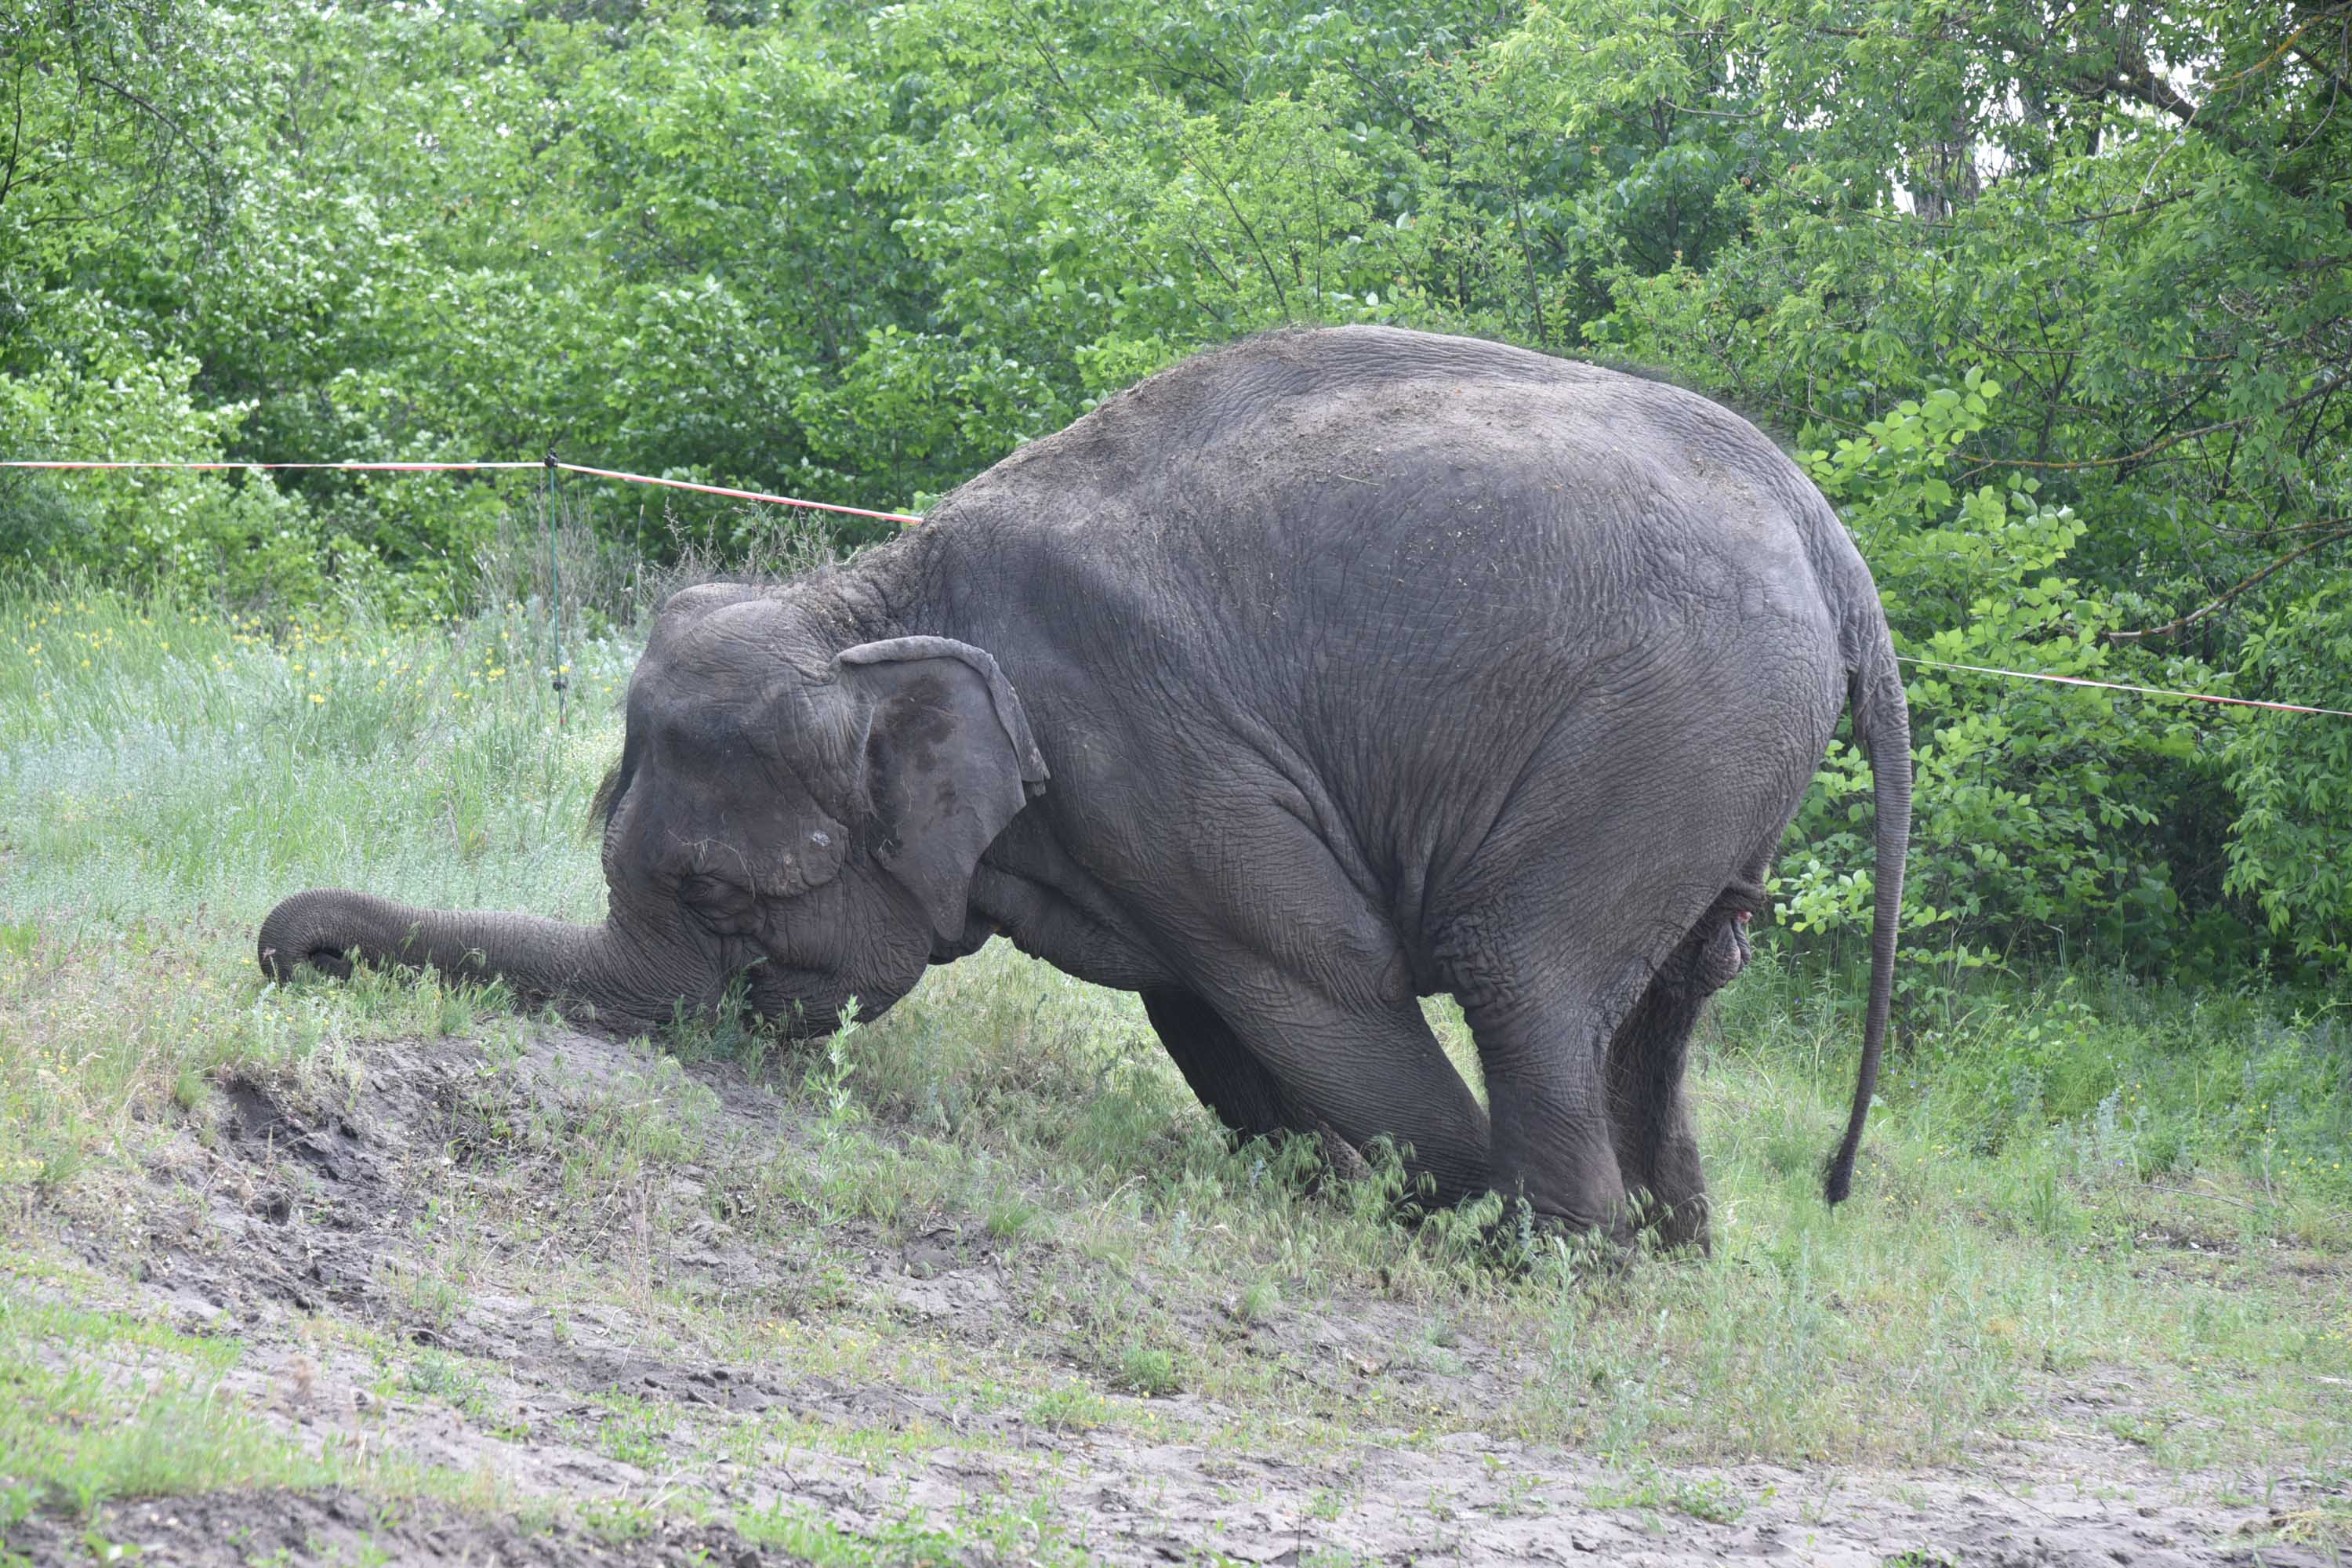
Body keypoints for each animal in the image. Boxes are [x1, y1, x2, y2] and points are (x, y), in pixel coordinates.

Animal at [262, 331, 1910, 1250]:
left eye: (718, 894)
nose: (285, 954)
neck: (877, 594)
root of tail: (1825, 531)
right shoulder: (1134, 831)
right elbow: (1206, 1007)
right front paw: (1334, 1191)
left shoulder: (1154, 752)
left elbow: (1318, 982)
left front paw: (1420, 1197)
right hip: (1710, 763)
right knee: (1671, 998)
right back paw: (1671, 1256)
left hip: (1656, 734)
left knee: (1530, 977)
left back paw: (1548, 1263)